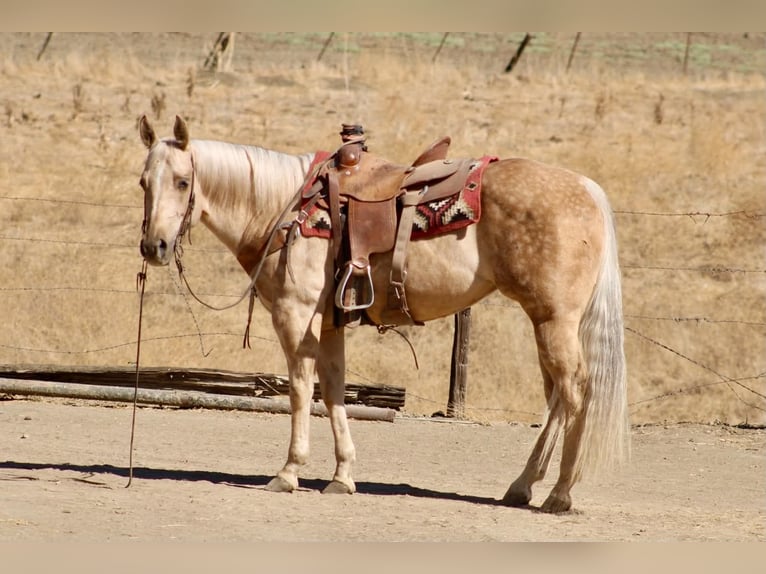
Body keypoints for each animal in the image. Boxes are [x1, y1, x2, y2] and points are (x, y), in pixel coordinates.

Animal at [136, 115, 629, 513]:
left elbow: (300, 390)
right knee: (558, 396)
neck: (284, 209)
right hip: (548, 322)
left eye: (182, 181)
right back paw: (523, 486)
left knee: (575, 391)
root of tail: (586, 189)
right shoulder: (329, 323)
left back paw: (559, 493)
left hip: (553, 320)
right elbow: (334, 390)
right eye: (143, 182)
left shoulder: (295, 317)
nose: (153, 246)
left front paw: (289, 472)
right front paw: (342, 477)